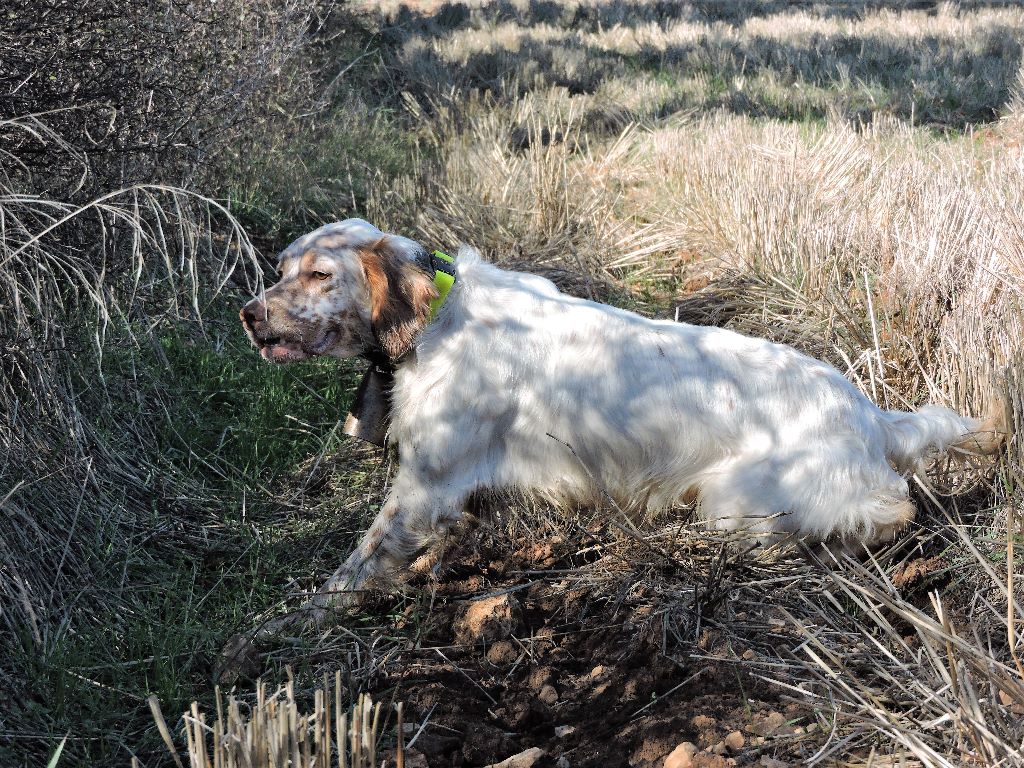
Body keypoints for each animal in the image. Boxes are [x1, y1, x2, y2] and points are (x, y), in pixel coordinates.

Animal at [237, 219, 999, 622]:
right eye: (283, 267)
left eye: (319, 276)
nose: (250, 313)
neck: (437, 322)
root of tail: (873, 418)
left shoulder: (425, 485)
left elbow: (360, 563)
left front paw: (294, 624)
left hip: (736, 500)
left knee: (887, 515)